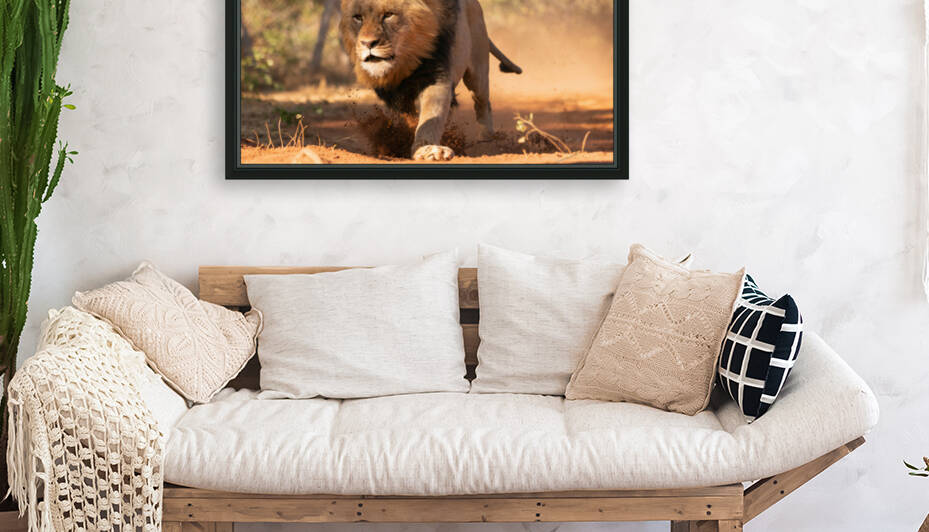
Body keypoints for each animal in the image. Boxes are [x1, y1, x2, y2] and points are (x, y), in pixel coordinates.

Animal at [340, 0, 522, 161]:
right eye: (358, 18)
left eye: (389, 15)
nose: (367, 43)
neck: (405, 63)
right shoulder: (391, 94)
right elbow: (406, 117)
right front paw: (405, 137)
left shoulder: (436, 77)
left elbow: (431, 115)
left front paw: (429, 150)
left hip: (478, 69)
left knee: (482, 101)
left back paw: (486, 137)